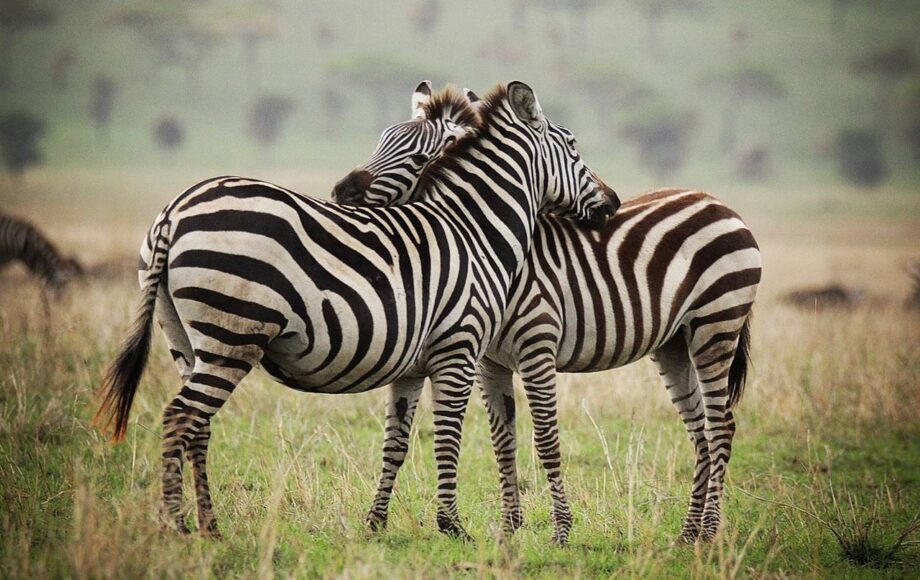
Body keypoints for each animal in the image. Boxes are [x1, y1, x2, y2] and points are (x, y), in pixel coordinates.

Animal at [93, 82, 619, 539]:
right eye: (574, 147)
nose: (612, 203)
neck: (471, 229)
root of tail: (174, 211)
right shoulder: (458, 347)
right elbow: (448, 434)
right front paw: (451, 526)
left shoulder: (413, 365)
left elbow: (397, 442)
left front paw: (376, 524)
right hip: (233, 334)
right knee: (180, 418)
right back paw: (177, 527)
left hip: (185, 339)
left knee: (196, 426)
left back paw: (210, 527)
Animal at [337, 94, 762, 545]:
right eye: (381, 139)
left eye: (419, 156)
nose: (341, 191)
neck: (496, 252)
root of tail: (714, 200)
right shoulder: (488, 361)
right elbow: (502, 441)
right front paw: (509, 528)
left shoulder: (535, 348)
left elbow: (544, 439)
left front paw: (560, 531)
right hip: (675, 343)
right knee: (699, 430)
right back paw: (688, 534)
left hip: (716, 324)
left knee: (720, 428)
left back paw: (710, 531)